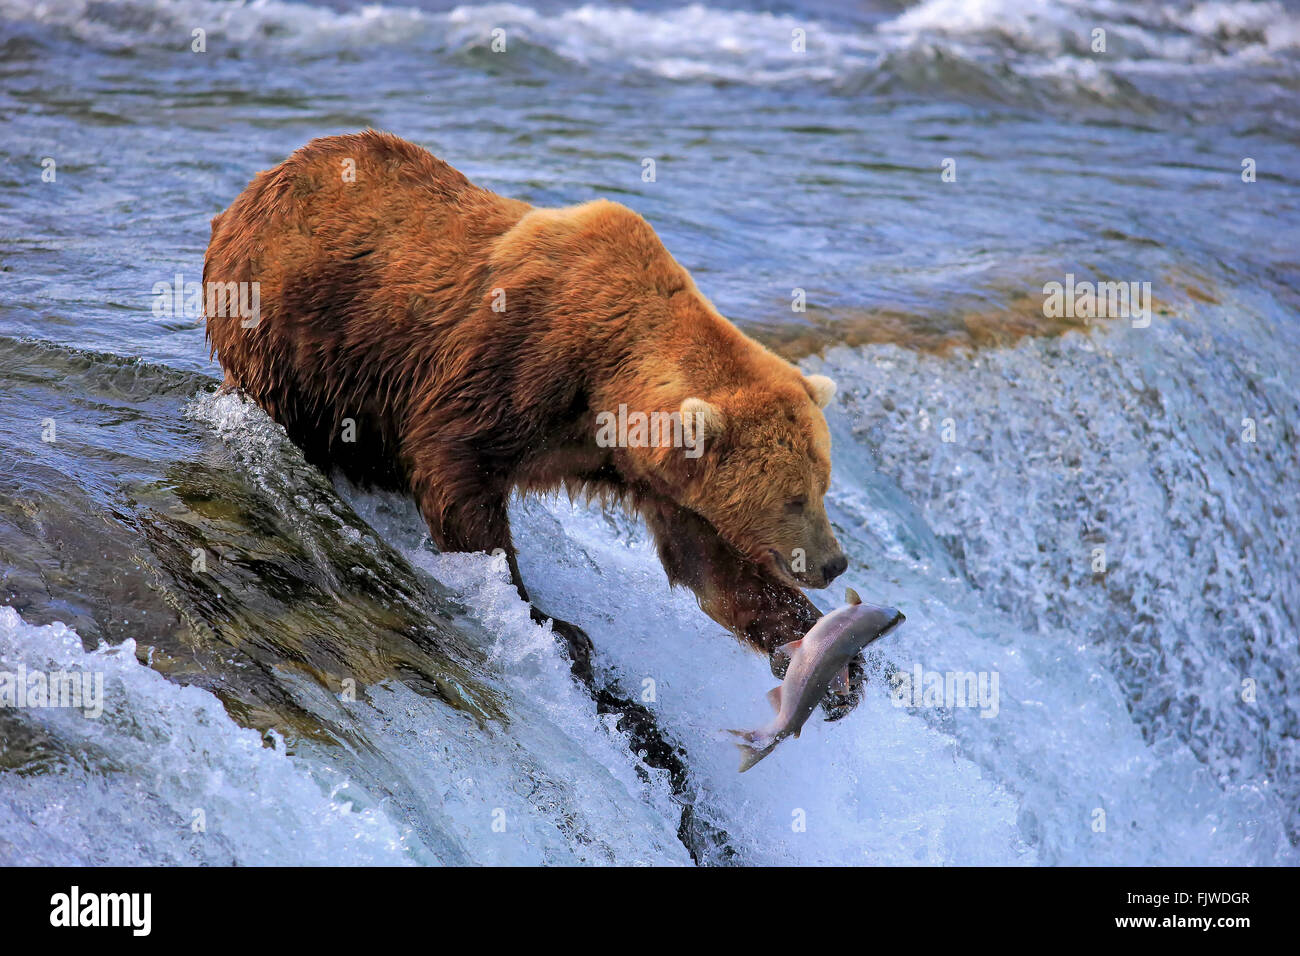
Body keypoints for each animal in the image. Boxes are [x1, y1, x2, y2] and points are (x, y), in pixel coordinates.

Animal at [202, 132, 857, 717]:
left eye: (821, 486)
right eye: (793, 497)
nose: (834, 562)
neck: (607, 381)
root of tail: (252, 192)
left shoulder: (655, 476)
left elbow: (712, 565)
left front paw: (832, 663)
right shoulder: (513, 361)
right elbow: (457, 476)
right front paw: (550, 620)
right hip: (293, 323)